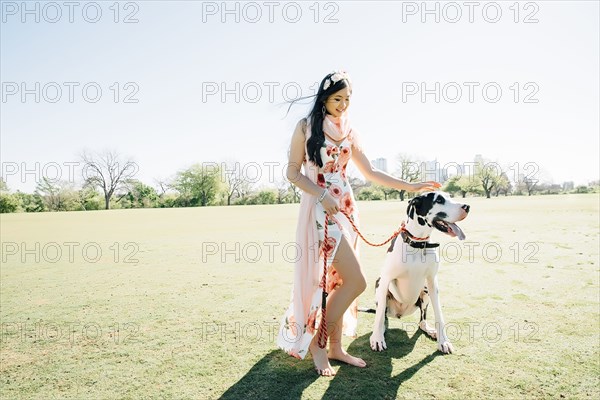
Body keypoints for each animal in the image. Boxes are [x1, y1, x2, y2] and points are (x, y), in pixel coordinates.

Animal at [368, 192, 472, 354]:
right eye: (439, 200)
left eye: (450, 196)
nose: (467, 207)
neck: (418, 244)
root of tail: (400, 313)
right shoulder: (385, 280)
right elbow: (378, 316)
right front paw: (377, 339)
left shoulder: (432, 282)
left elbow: (439, 314)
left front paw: (444, 341)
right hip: (379, 287)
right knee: (382, 316)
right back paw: (380, 330)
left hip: (425, 291)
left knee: (421, 322)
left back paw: (430, 330)